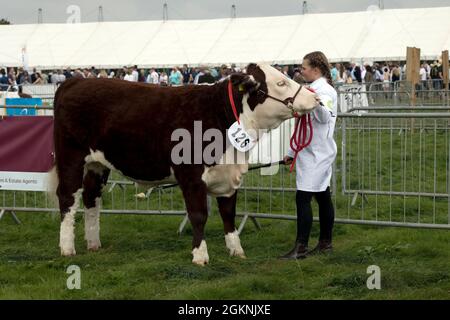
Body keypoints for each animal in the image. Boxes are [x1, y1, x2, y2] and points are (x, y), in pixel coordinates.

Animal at [51, 62, 320, 264]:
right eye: (281, 82)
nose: (315, 98)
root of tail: (74, 82)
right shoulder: (191, 176)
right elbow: (199, 215)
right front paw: (200, 255)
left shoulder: (228, 175)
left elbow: (228, 214)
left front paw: (236, 250)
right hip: (71, 158)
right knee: (68, 198)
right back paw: (67, 247)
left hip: (98, 165)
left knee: (91, 198)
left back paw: (94, 243)